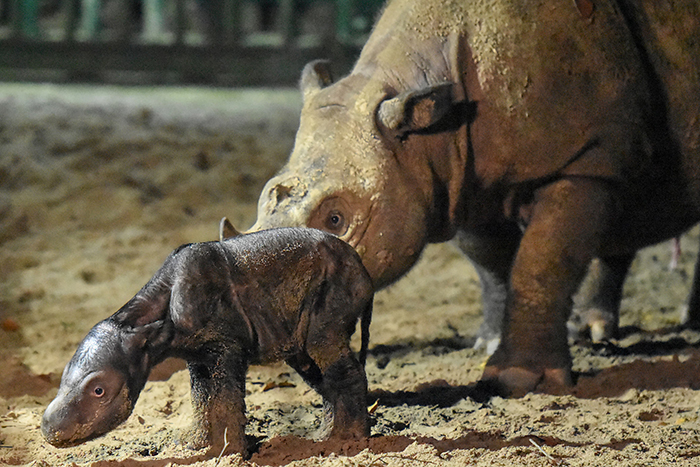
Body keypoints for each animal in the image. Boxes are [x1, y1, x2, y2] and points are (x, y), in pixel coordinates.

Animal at [41, 224, 374, 458]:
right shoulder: (198, 353)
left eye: (99, 391)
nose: (48, 429)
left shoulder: (225, 344)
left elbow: (225, 396)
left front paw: (229, 453)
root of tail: (363, 268)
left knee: (323, 345)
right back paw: (324, 437)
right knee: (309, 363)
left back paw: (345, 441)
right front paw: (196, 445)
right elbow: (201, 397)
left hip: (337, 281)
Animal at [252, 0, 700, 396]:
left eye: (336, 219)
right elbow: (491, 264)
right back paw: (598, 330)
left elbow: (542, 261)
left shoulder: (584, 157)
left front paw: (517, 380)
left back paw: (688, 324)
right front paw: (487, 343)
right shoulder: (459, 178)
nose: (272, 323)